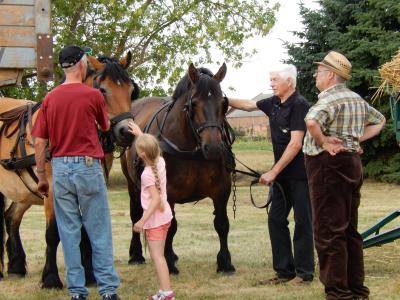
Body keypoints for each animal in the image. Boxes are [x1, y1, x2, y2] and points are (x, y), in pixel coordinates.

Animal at [122, 63, 234, 274]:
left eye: (223, 103)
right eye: (194, 104)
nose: (214, 148)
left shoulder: (222, 190)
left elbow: (222, 224)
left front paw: (225, 263)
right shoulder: (168, 193)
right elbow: (171, 226)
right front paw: (168, 263)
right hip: (132, 185)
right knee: (136, 215)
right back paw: (137, 255)